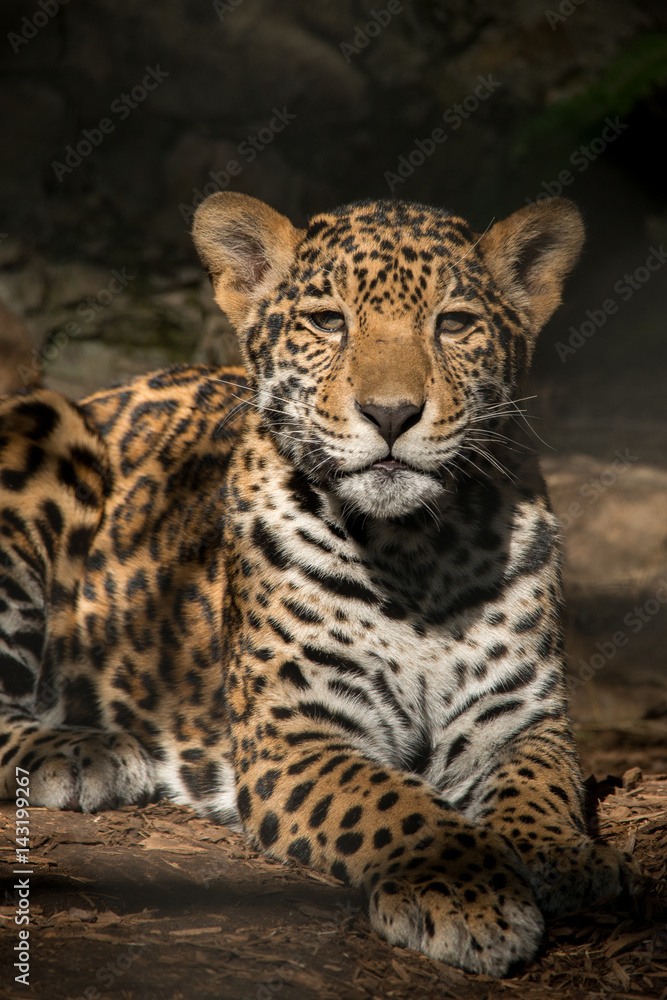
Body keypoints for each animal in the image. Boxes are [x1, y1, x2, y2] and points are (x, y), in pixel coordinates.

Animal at [0, 192, 638, 977]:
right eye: (328, 322)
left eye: (453, 323)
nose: (391, 413)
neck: (418, 552)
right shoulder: (297, 732)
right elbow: (394, 805)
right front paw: (463, 889)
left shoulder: (521, 717)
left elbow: (539, 786)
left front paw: (563, 856)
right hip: (46, 424)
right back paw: (85, 754)